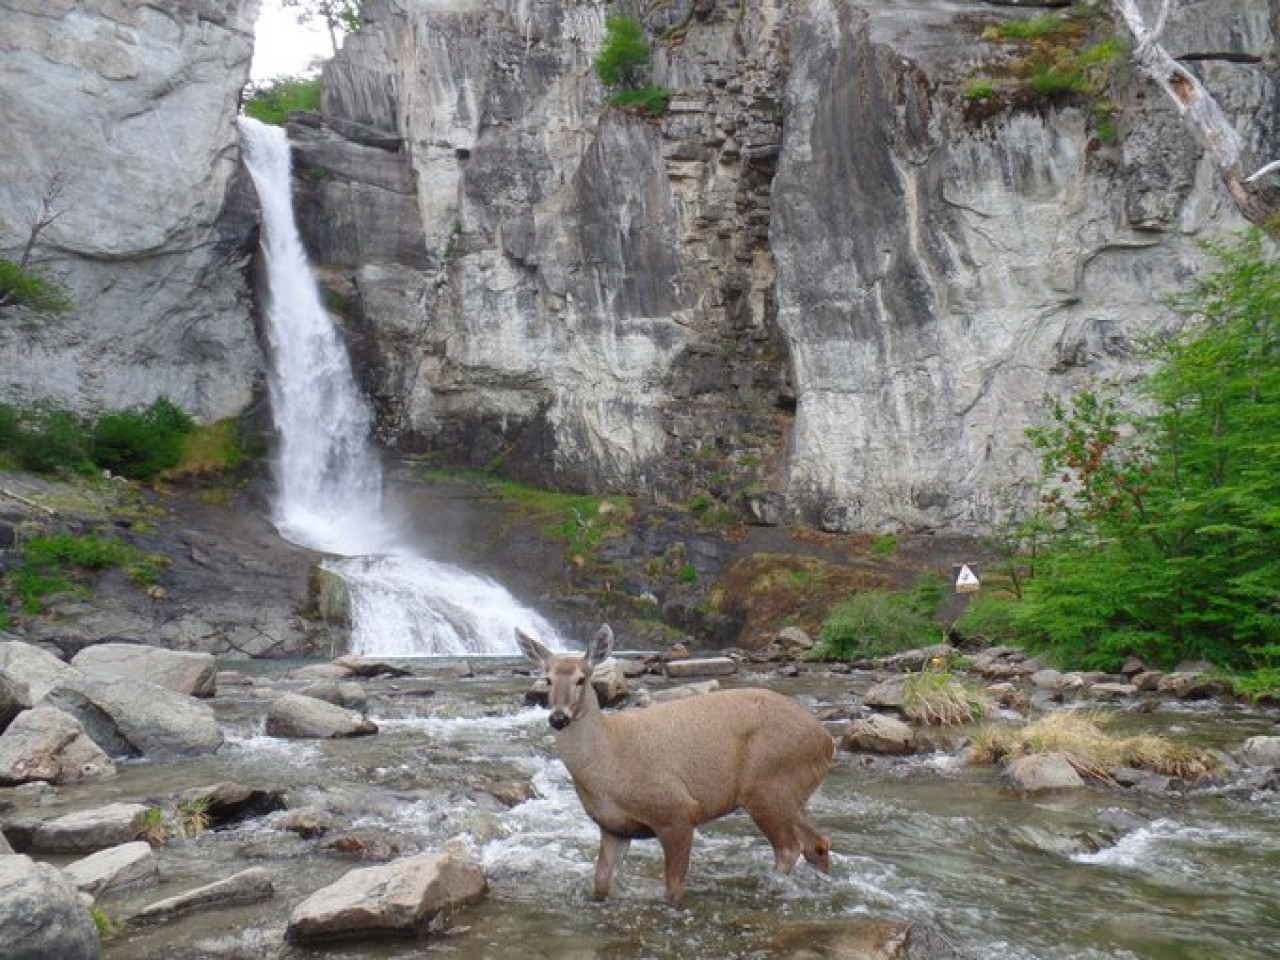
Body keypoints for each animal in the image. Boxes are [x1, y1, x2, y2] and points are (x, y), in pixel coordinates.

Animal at [514, 627, 834, 906]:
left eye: (582, 679)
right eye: (547, 679)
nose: (558, 718)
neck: (609, 762)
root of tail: (826, 740)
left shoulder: (676, 811)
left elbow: (674, 889)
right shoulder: (614, 827)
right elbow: (600, 884)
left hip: (767, 785)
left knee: (789, 848)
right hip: (791, 791)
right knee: (817, 843)